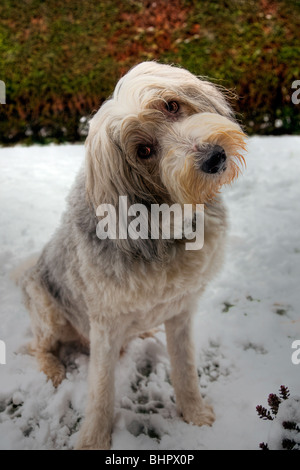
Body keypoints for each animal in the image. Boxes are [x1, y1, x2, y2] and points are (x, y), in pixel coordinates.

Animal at [20, 60, 246, 450]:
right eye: (143, 150)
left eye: (172, 106)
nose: (214, 157)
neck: (168, 228)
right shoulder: (105, 324)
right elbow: (100, 389)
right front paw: (94, 439)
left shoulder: (181, 310)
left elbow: (185, 367)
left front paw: (195, 413)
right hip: (47, 307)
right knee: (39, 346)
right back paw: (53, 369)